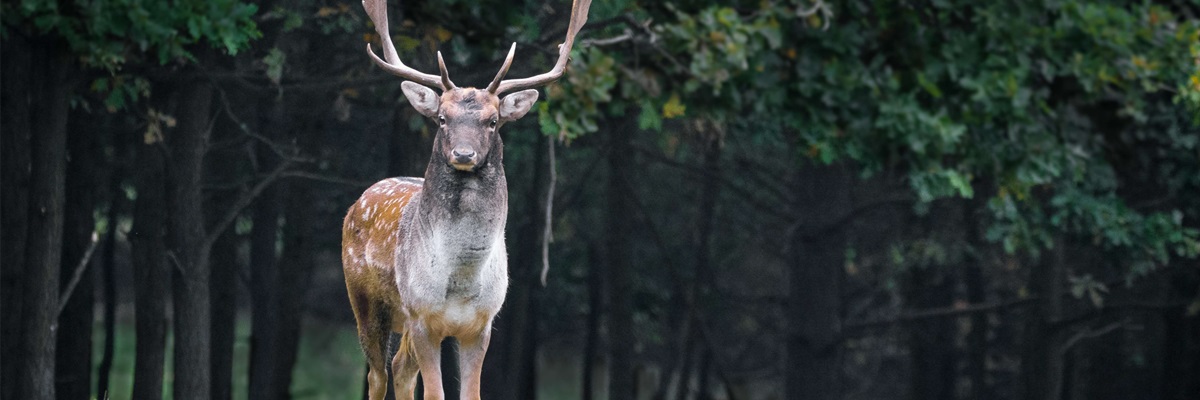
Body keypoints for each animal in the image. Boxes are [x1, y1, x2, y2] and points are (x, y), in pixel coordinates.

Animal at [342, 0, 590, 399]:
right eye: (442, 118)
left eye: (493, 121)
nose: (463, 153)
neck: (460, 280)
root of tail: (355, 205)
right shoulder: (422, 317)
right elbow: (435, 392)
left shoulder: (482, 325)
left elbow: (470, 392)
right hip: (365, 300)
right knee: (377, 375)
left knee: (400, 367)